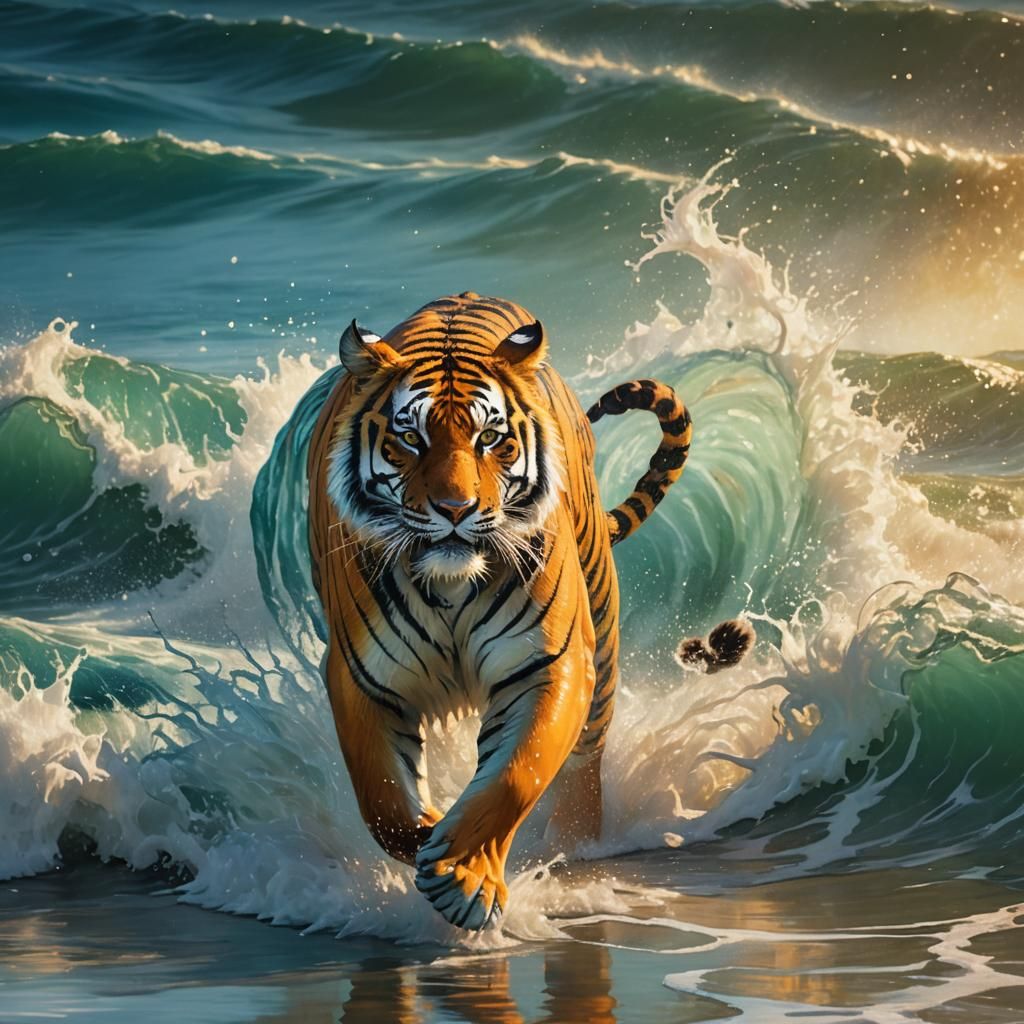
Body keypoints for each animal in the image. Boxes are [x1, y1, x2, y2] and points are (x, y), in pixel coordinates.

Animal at [306, 292, 749, 931]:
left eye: (492, 440)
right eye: (410, 439)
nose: (456, 509)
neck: (450, 585)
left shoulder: (548, 662)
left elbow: (517, 774)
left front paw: (463, 877)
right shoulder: (363, 677)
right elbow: (383, 801)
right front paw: (431, 835)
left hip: (602, 631)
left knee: (587, 756)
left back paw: (575, 847)